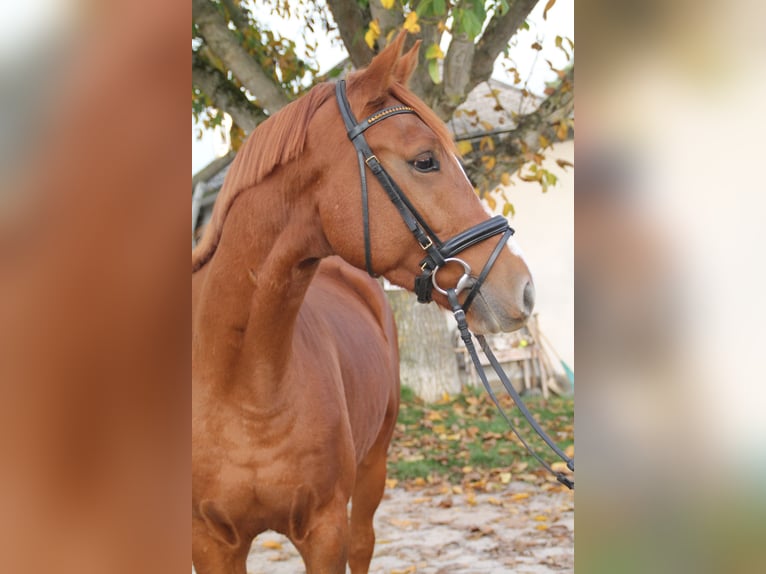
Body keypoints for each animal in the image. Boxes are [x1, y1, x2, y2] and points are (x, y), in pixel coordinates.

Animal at [192, 32, 536, 574]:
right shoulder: (210, 543)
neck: (243, 390)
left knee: (364, 542)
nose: (522, 287)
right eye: (424, 160)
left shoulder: (324, 531)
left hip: (374, 466)